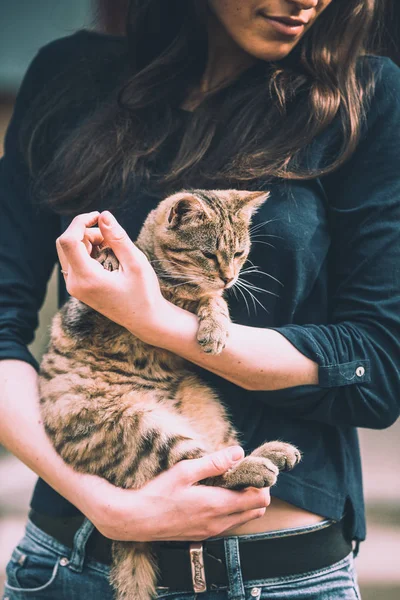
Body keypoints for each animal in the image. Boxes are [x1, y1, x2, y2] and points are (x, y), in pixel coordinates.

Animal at [39, 191, 300, 600]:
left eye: (240, 253)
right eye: (208, 254)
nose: (229, 276)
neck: (171, 283)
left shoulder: (202, 296)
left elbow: (213, 301)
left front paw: (215, 326)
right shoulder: (86, 313)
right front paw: (108, 257)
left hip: (205, 404)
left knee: (223, 453)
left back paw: (273, 453)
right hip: (143, 429)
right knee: (204, 471)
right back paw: (259, 466)